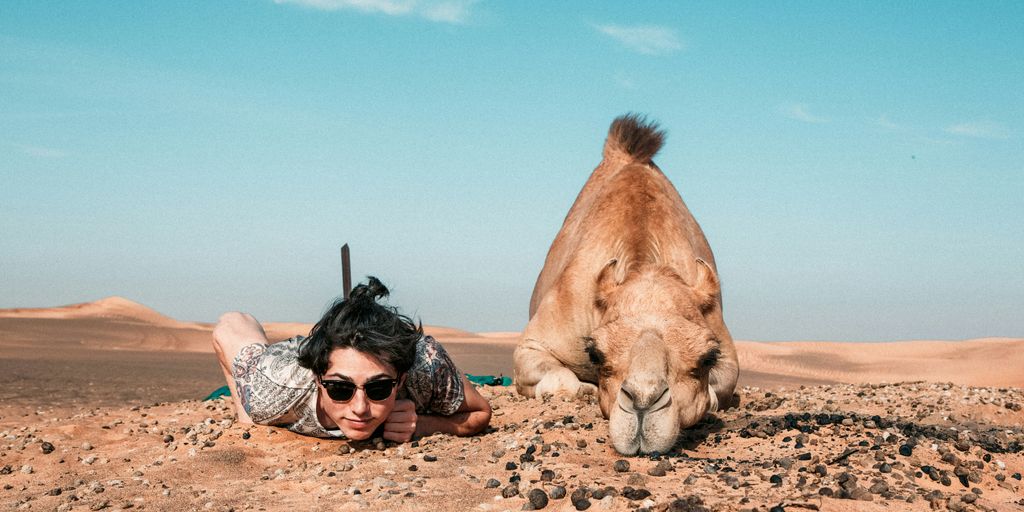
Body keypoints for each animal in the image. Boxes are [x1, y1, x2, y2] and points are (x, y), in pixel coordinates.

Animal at [516, 114, 741, 454]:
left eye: (707, 357)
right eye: (596, 353)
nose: (643, 404)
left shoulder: (723, 345)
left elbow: (718, 391)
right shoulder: (536, 342)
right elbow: (563, 383)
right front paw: (584, 389)